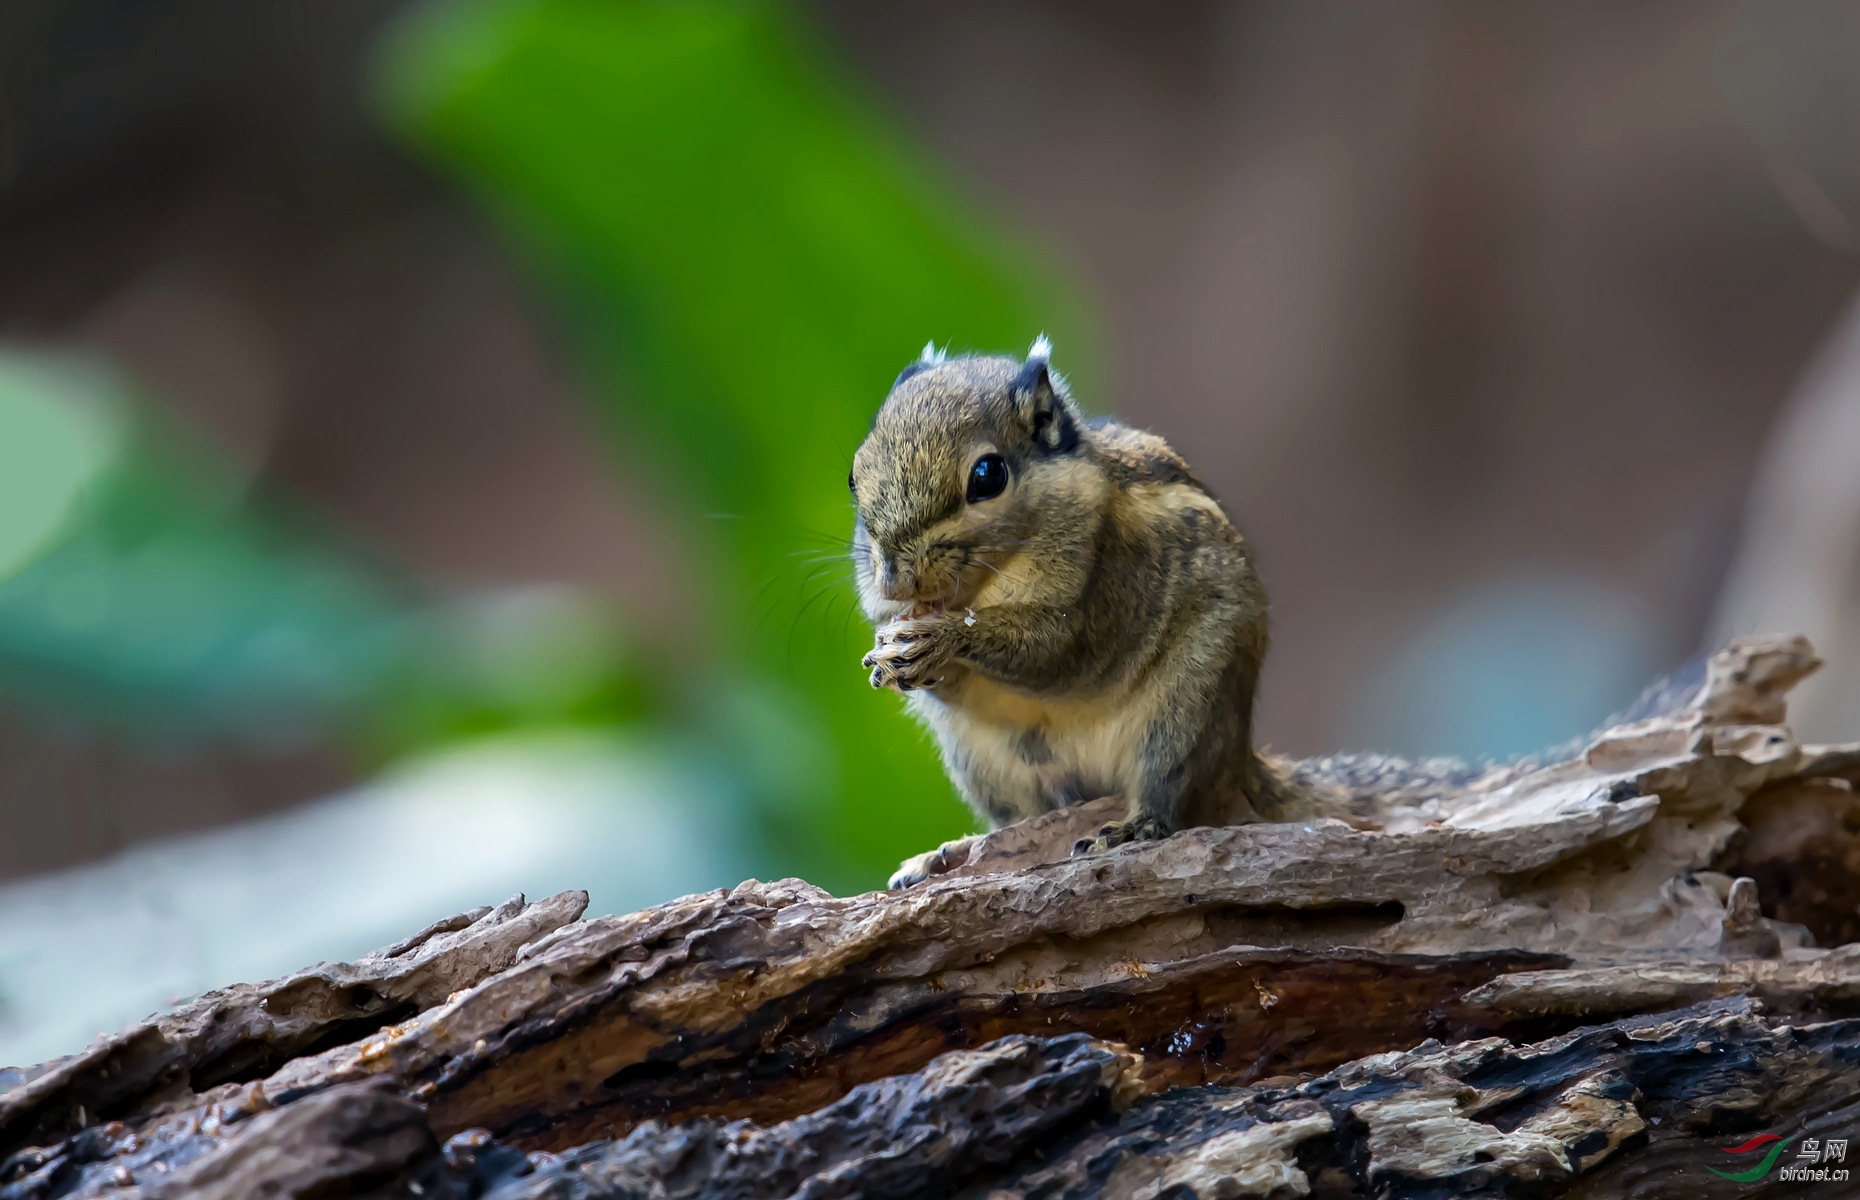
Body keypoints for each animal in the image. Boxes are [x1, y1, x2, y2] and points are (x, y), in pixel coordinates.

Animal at [855, 336, 1324, 889]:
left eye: (988, 476)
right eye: (853, 475)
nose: (894, 581)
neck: (984, 585)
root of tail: (1238, 766)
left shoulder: (1109, 584)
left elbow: (1056, 651)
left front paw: (942, 638)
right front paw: (890, 654)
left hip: (1187, 711)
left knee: (1171, 802)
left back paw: (1132, 828)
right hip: (985, 762)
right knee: (1022, 822)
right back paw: (950, 855)